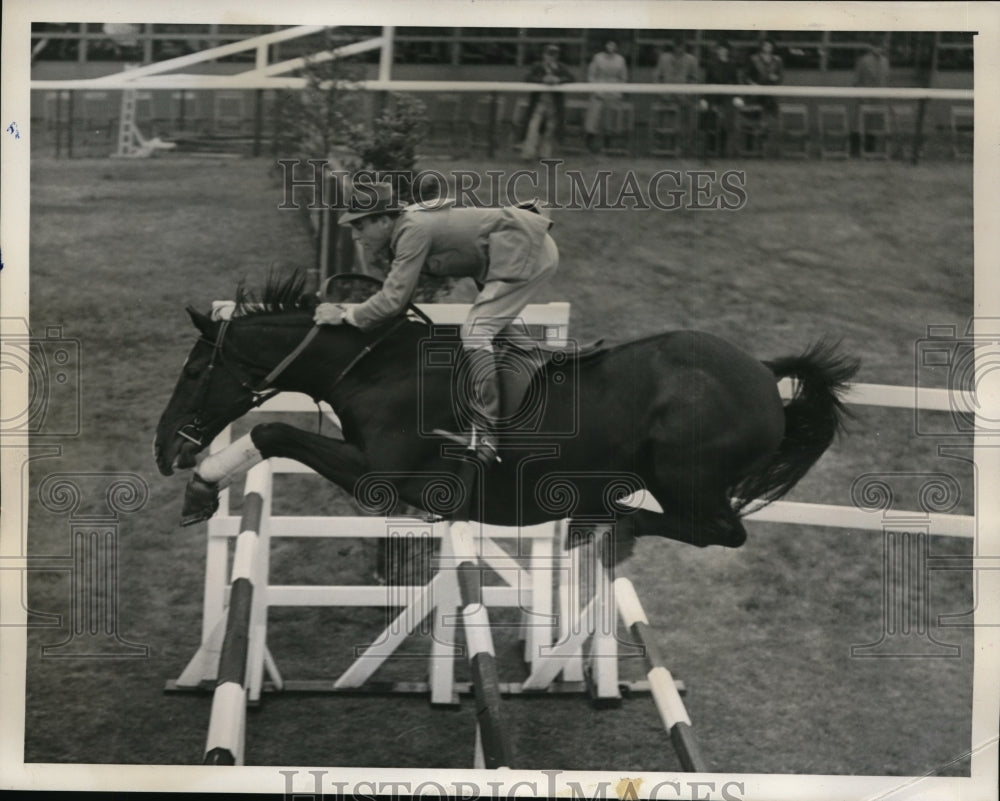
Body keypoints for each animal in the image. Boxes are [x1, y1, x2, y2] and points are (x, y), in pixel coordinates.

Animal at [154, 274, 860, 556]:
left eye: (192, 372)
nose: (164, 449)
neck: (378, 369)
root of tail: (764, 373)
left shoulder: (379, 478)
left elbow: (272, 428)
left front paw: (202, 485)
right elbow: (272, 431)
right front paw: (199, 487)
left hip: (687, 476)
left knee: (721, 530)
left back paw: (608, 528)